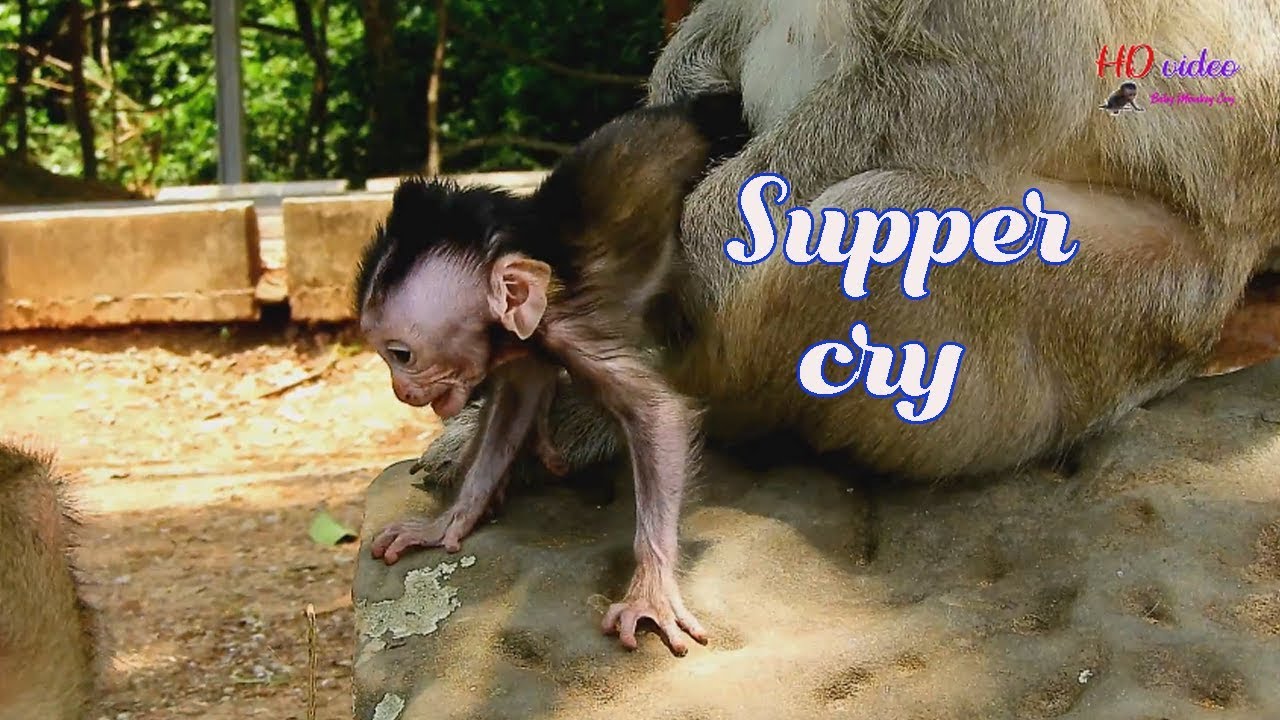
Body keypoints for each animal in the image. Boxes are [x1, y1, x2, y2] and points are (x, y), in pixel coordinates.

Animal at [354, 91, 752, 656]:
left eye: (400, 354)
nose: (400, 388)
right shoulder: (526, 340)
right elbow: (516, 400)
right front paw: (452, 518)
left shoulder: (570, 328)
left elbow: (659, 413)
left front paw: (650, 590)